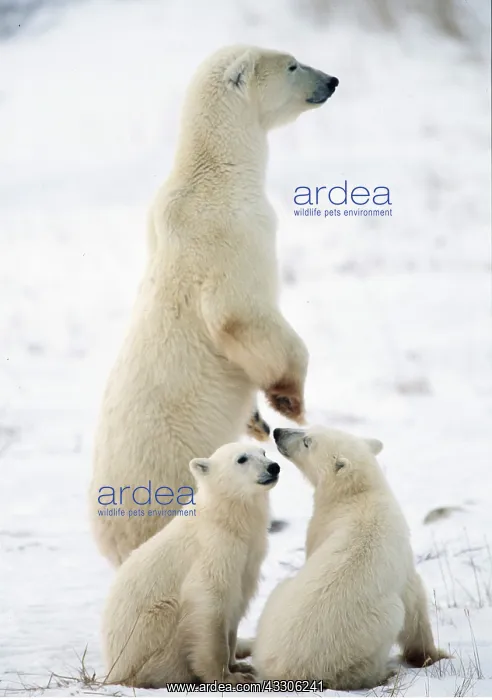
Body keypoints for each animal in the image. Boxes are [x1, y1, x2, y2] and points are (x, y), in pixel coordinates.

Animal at [90, 45, 339, 566]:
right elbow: (239, 314)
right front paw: (291, 402)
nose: (332, 80)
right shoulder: (233, 232)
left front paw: (259, 421)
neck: (215, 175)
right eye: (292, 64)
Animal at [102, 442, 280, 688]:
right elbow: (208, 605)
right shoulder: (213, 550)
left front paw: (241, 666)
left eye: (263, 452)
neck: (226, 519)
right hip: (152, 633)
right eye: (242, 459)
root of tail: (114, 670)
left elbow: (236, 604)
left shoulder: (248, 558)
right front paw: (230, 676)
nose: (273, 467)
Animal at [253, 426, 447, 690]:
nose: (278, 431)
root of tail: (286, 670)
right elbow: (414, 602)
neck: (359, 493)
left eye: (307, 441)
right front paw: (430, 656)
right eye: (308, 430)